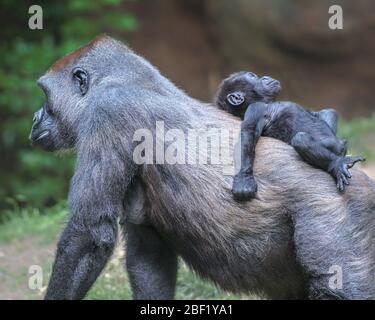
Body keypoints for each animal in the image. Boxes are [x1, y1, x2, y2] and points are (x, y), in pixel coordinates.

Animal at [216, 72, 366, 200]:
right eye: (253, 77)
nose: (264, 77)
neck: (266, 101)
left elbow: (321, 113)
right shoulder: (256, 108)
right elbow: (249, 133)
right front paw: (244, 180)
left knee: (328, 114)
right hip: (335, 149)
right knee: (301, 139)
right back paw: (337, 164)